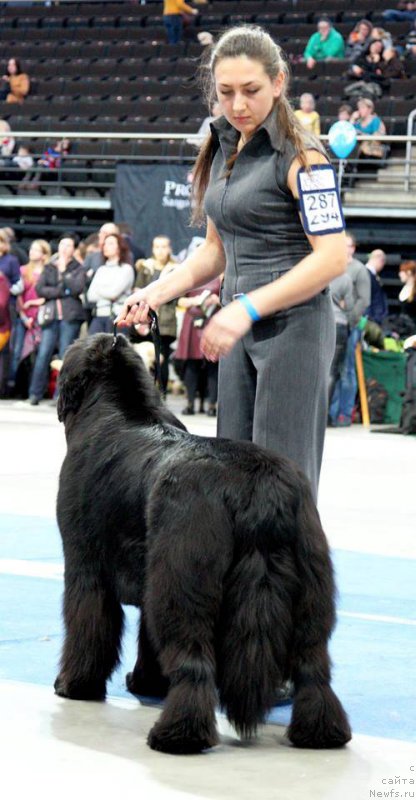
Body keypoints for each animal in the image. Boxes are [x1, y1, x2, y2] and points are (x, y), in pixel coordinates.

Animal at [52, 332, 352, 756]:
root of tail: (260, 488)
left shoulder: (85, 566)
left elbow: (87, 626)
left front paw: (74, 685)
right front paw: (147, 683)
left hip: (183, 576)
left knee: (193, 662)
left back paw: (177, 736)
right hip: (311, 578)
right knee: (314, 667)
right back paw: (321, 732)